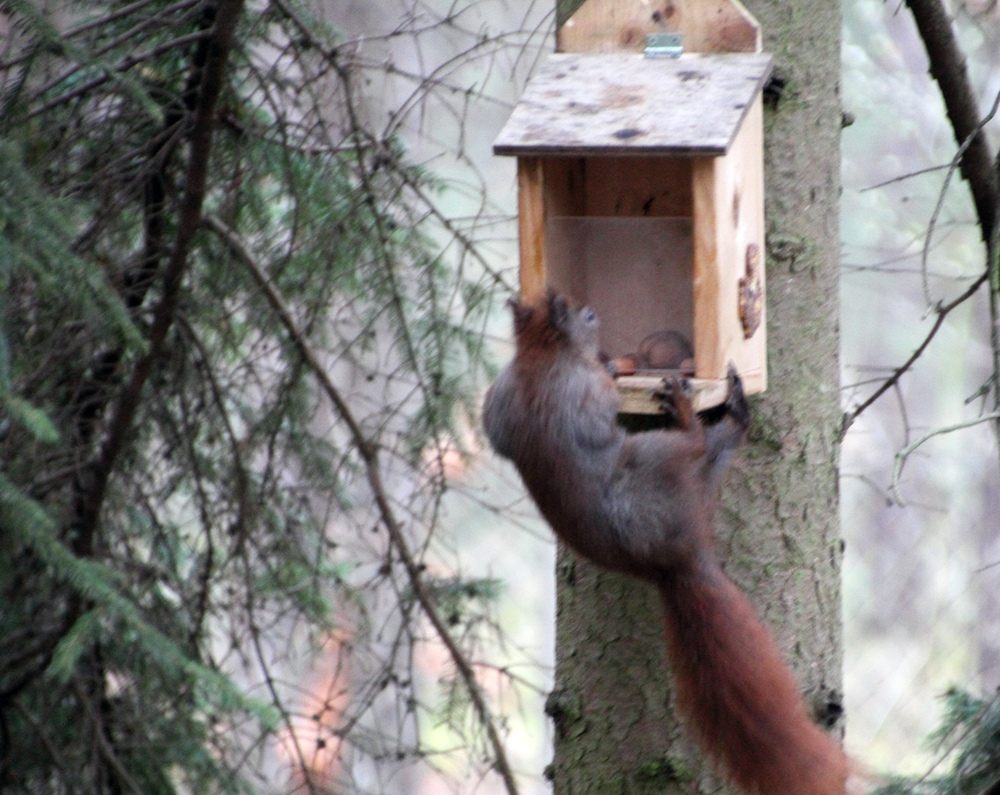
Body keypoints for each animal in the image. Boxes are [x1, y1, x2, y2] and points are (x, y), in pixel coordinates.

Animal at [480, 290, 848, 795]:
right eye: (585, 314)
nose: (595, 310)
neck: (540, 356)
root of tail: (676, 556)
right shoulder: (588, 393)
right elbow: (602, 401)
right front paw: (613, 367)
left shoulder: (499, 399)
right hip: (657, 455)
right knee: (694, 444)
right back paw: (692, 411)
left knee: (716, 450)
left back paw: (735, 415)